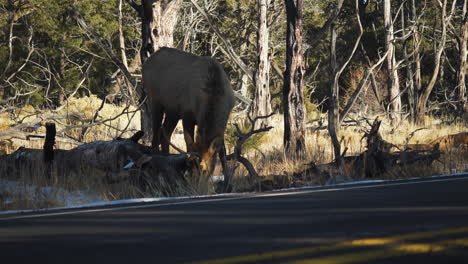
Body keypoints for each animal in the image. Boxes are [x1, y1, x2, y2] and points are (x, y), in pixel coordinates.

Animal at [143, 48, 236, 177]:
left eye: (205, 170)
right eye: (190, 167)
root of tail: (146, 63)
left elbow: (222, 154)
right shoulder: (187, 115)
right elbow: (189, 144)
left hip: (173, 112)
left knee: (165, 133)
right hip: (155, 101)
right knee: (156, 133)